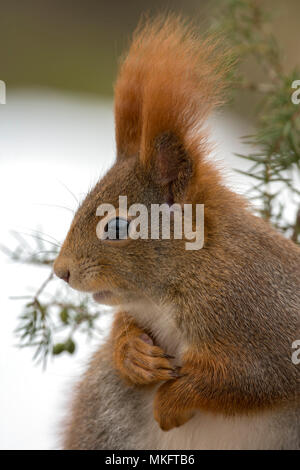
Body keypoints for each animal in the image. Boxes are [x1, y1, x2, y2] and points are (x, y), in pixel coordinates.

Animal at [54, 15, 300, 448]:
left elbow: (245, 382)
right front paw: (131, 353)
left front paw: (173, 400)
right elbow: (124, 329)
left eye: (116, 226)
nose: (60, 270)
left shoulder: (272, 326)